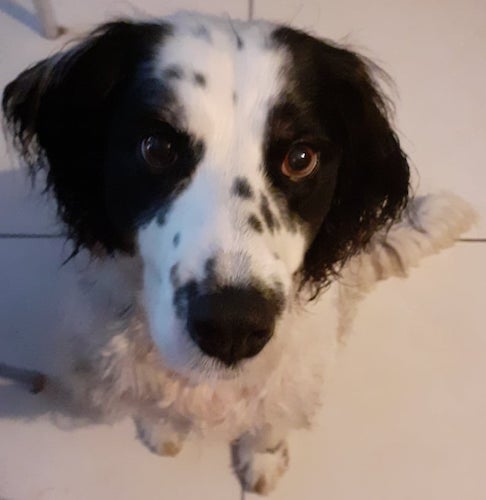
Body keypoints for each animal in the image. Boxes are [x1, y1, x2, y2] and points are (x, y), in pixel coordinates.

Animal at [1, 12, 476, 496]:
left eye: (300, 158)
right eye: (156, 148)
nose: (232, 326)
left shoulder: (292, 379)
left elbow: (270, 422)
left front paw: (262, 459)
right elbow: (153, 406)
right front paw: (161, 432)